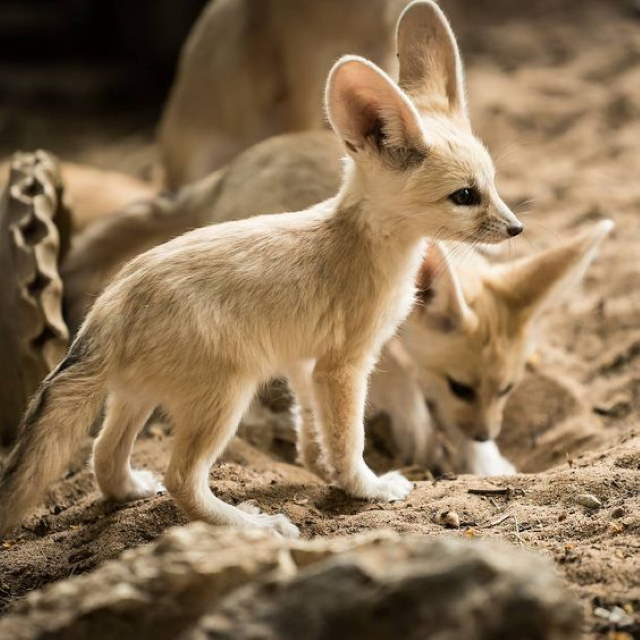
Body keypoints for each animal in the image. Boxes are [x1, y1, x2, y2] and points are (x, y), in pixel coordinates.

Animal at [0, 2, 524, 536]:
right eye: (465, 196)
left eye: (493, 184)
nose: (516, 228)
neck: (358, 241)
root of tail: (109, 308)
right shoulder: (345, 365)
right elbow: (348, 437)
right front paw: (366, 486)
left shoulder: (306, 361)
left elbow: (313, 430)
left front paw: (325, 473)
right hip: (226, 396)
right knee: (181, 478)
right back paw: (255, 527)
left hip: (136, 398)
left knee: (104, 458)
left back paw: (132, 491)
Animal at [370, 220, 616, 476]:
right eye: (460, 388)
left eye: (507, 389)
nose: (483, 437)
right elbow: (392, 374)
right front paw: (419, 437)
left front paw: (483, 461)